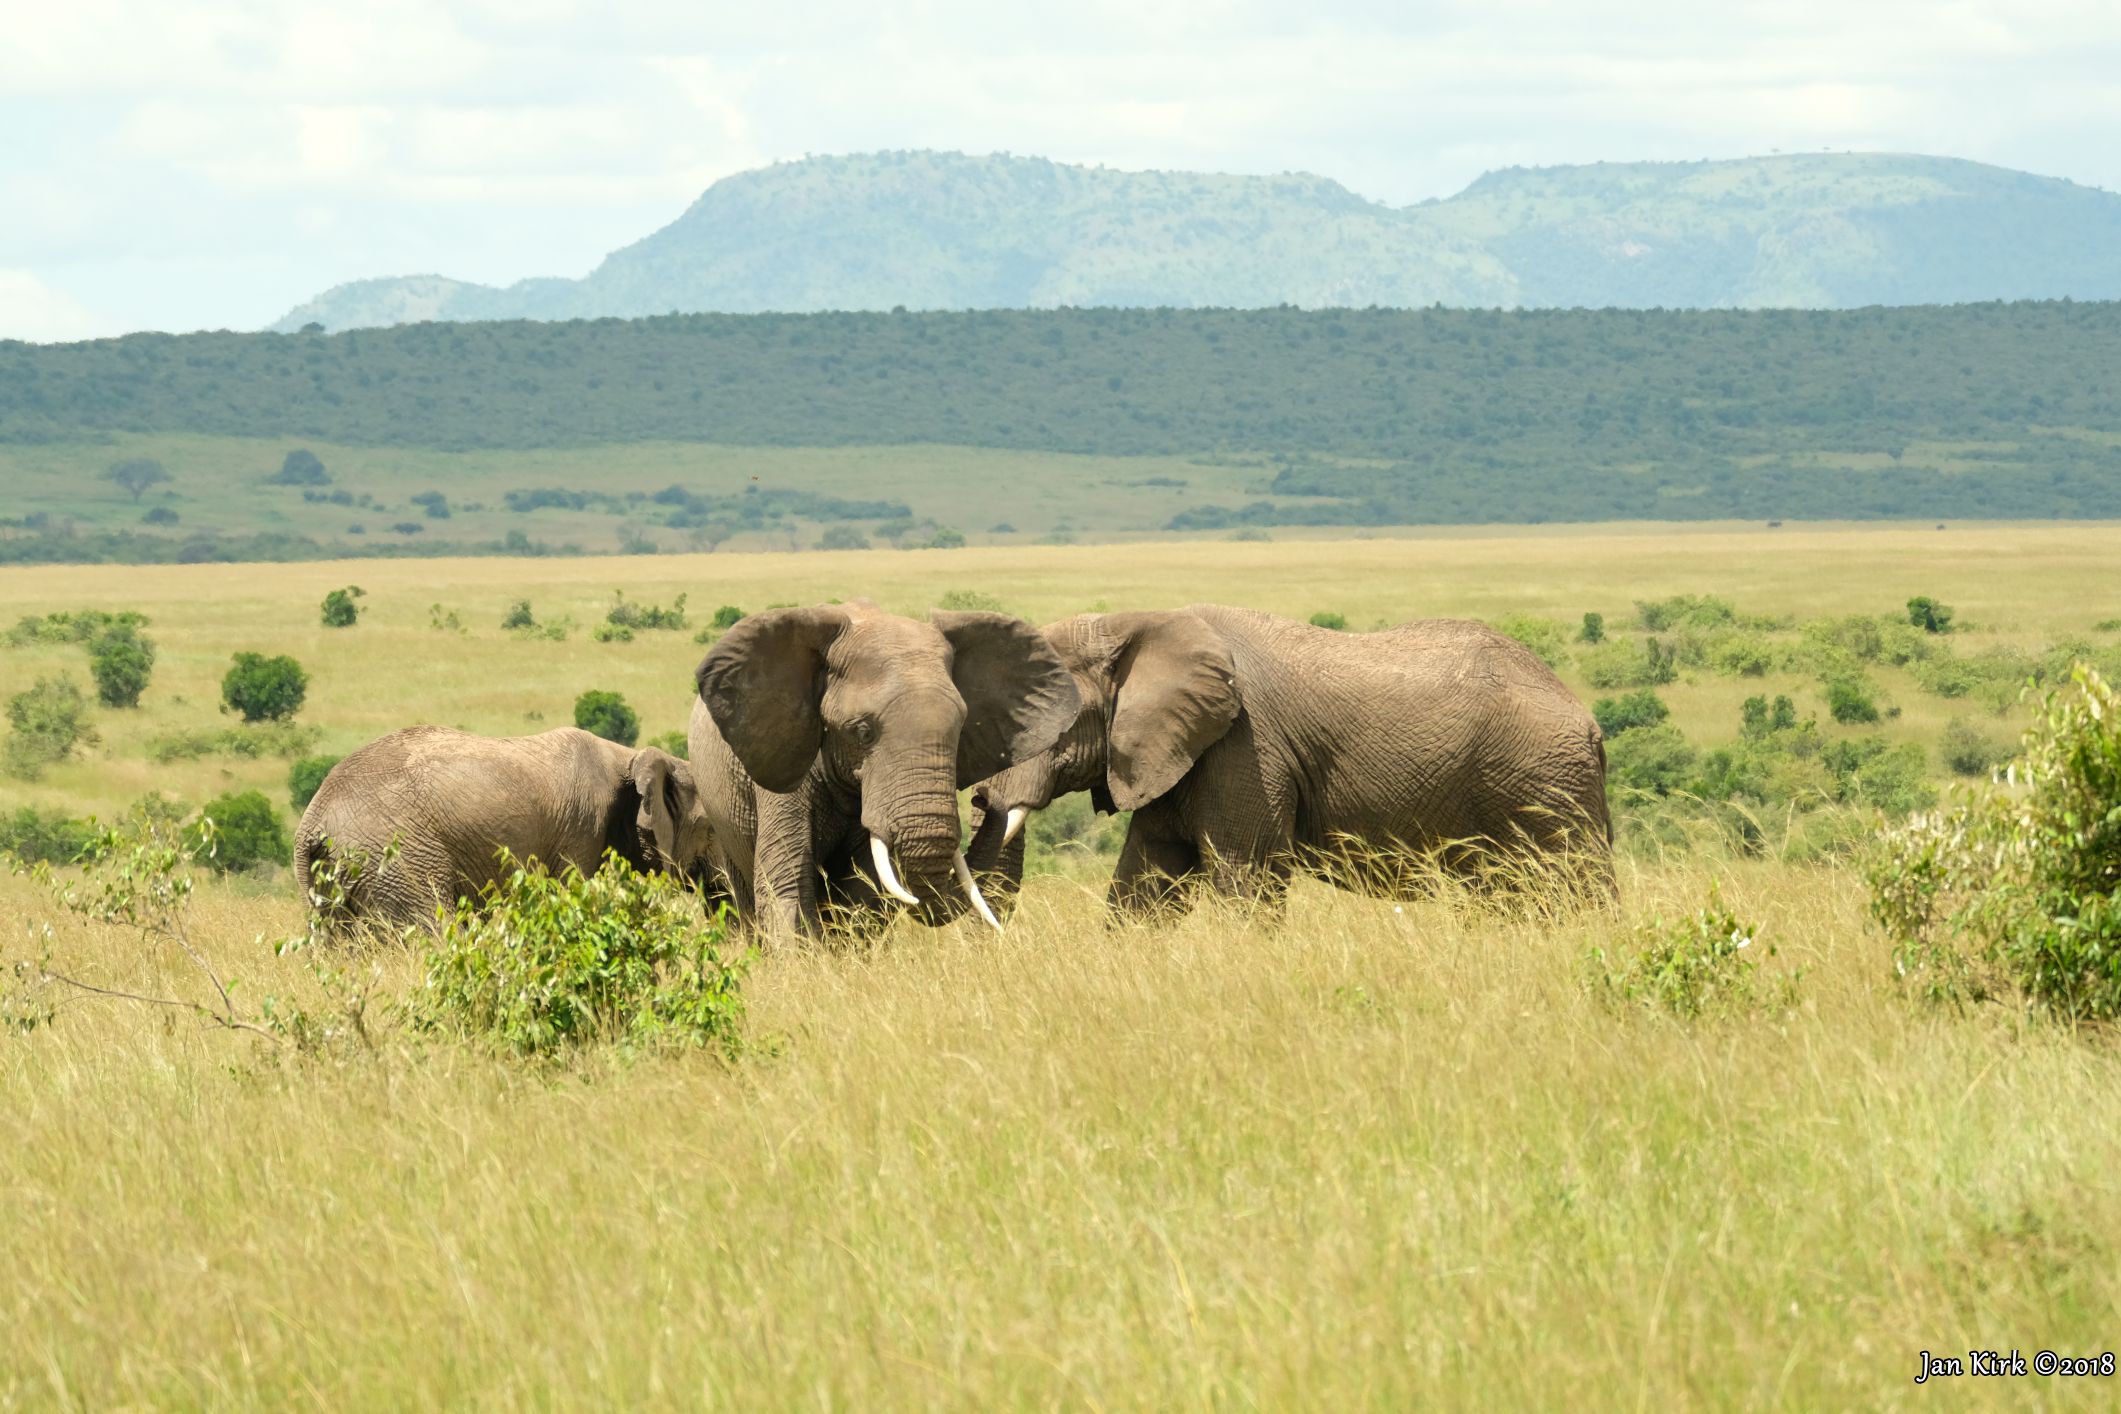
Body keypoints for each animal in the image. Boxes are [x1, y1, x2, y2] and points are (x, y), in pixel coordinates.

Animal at [691, 602, 1077, 941]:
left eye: (960, 730)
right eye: (862, 732)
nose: (984, 796)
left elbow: (863, 894)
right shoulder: (784, 756)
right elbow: (787, 883)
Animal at [962, 610, 1603, 920]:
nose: (980, 800)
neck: (1131, 624)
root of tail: (1586, 716)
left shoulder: (1245, 748)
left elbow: (1245, 877)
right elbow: (1144, 881)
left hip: (1547, 780)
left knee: (1574, 883)